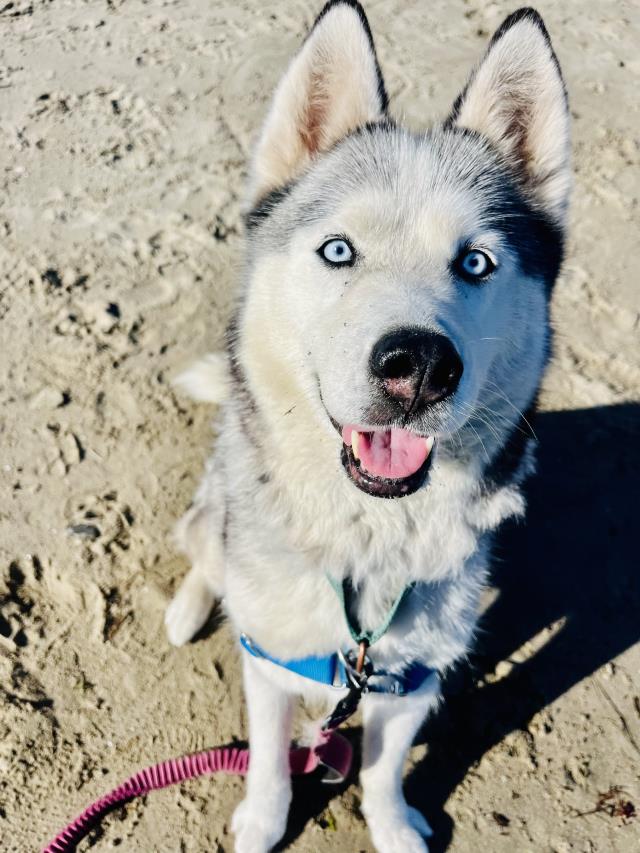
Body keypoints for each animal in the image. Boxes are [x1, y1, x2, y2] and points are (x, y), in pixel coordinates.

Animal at [164, 3, 568, 848]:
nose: (419, 364)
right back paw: (189, 606)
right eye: (339, 250)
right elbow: (269, 761)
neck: (367, 542)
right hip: (219, 514)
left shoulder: (413, 677)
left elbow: (381, 770)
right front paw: (262, 822)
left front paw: (393, 827)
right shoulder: (274, 662)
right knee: (203, 545)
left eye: (475, 263)